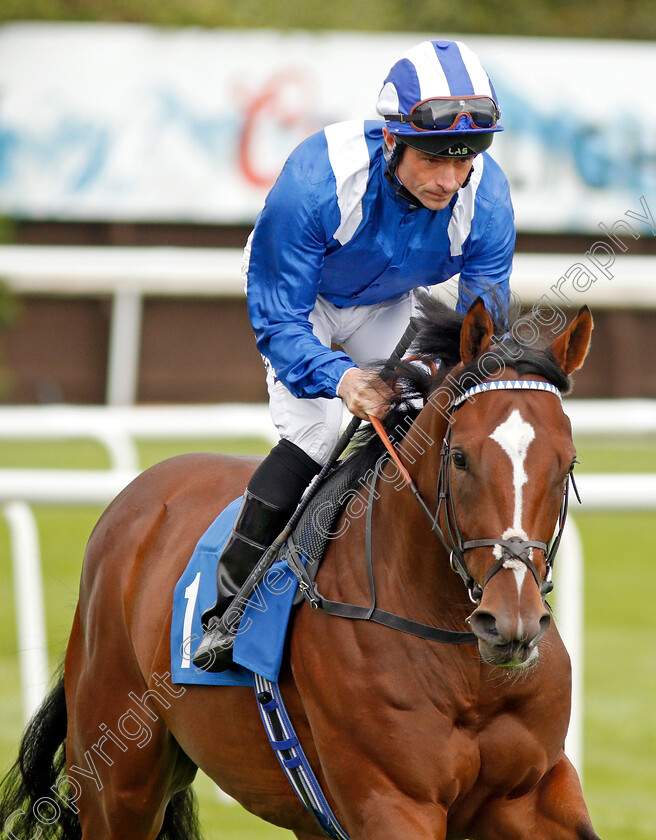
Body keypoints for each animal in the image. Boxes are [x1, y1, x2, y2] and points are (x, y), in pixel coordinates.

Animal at [0, 298, 600, 836]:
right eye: (460, 458)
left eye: (567, 461)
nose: (511, 623)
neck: (466, 667)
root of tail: (135, 496)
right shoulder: (390, 801)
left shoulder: (534, 793)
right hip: (119, 781)